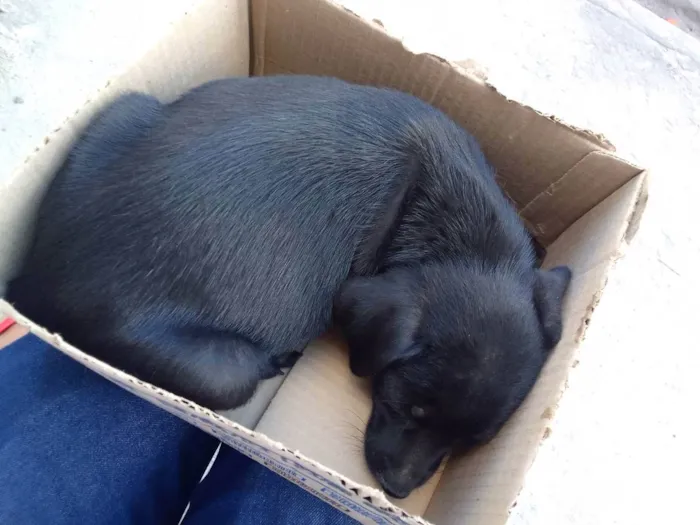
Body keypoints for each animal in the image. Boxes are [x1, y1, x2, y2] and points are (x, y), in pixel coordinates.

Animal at [5, 73, 572, 496]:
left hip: (121, 110)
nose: (396, 491)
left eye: (474, 441)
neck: (465, 237)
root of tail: (35, 281)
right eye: (401, 403)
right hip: (221, 372)